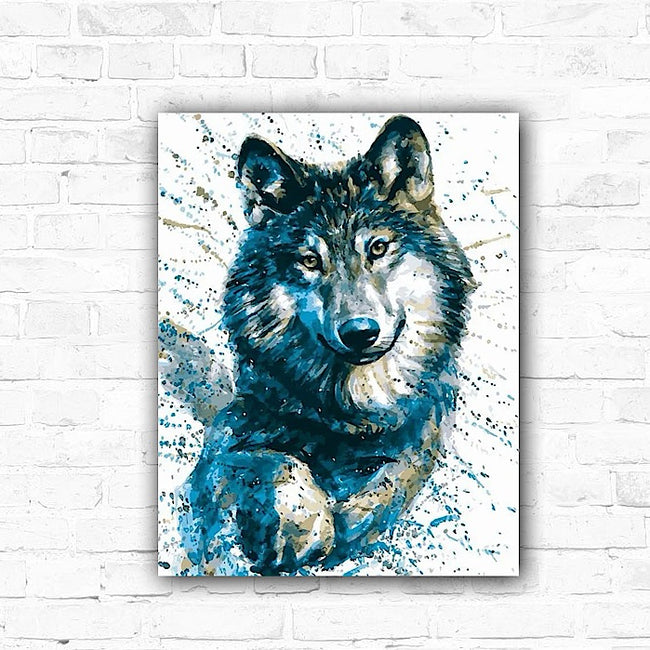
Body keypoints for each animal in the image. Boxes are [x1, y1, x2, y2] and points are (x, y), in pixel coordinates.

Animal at [176, 115, 474, 575]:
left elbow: (392, 481)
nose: (360, 332)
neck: (350, 413)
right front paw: (305, 526)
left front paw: (349, 521)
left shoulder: (421, 436)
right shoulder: (230, 431)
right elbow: (278, 459)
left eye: (378, 248)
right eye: (311, 261)